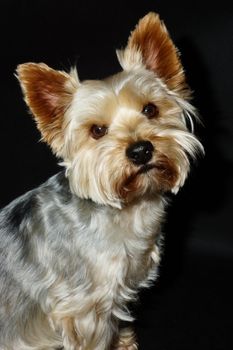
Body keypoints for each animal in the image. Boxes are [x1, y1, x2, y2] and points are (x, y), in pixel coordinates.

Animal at [0, 11, 204, 350]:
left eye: (150, 109)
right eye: (97, 130)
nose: (140, 150)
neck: (128, 208)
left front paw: (123, 341)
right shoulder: (82, 307)